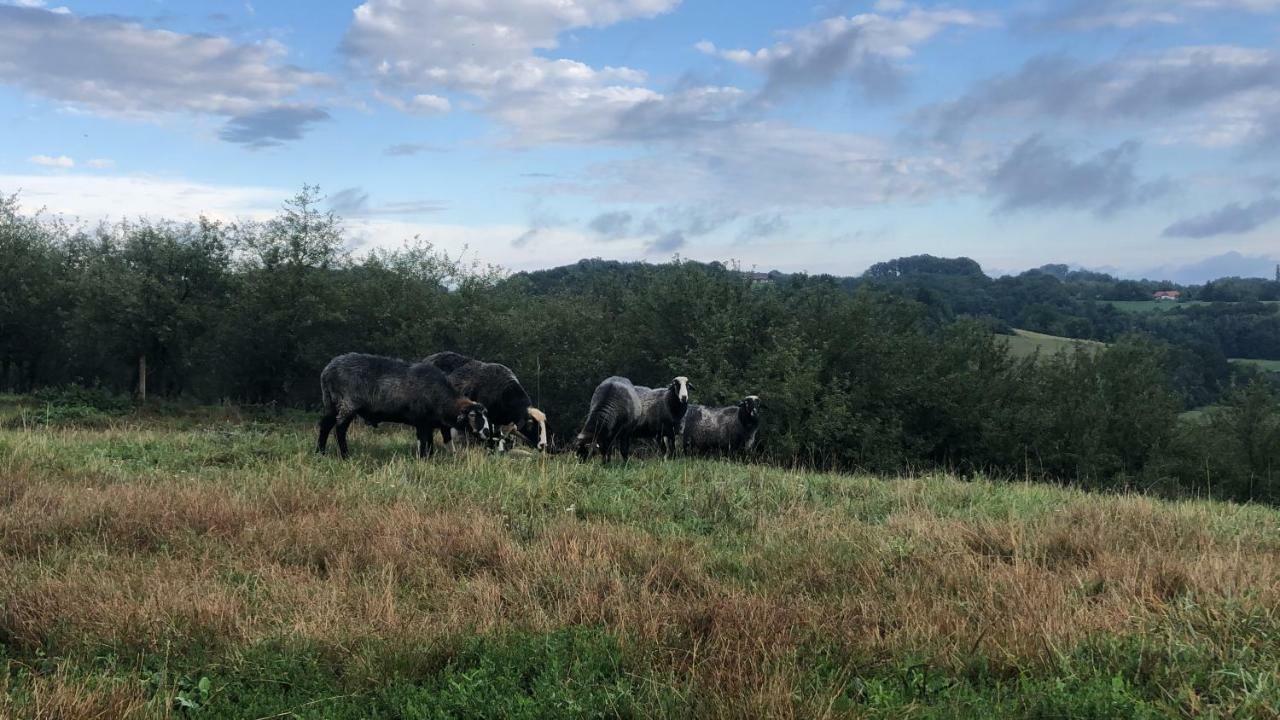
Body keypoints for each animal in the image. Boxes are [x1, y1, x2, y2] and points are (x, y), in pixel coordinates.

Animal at [314, 351, 488, 456]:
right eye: (472, 415)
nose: (486, 432)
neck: (442, 398)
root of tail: (327, 370)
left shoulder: (428, 422)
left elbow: (429, 441)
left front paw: (429, 457)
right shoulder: (421, 420)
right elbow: (423, 441)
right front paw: (423, 458)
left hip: (331, 402)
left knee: (325, 425)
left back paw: (320, 452)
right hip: (348, 403)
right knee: (340, 429)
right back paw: (345, 455)